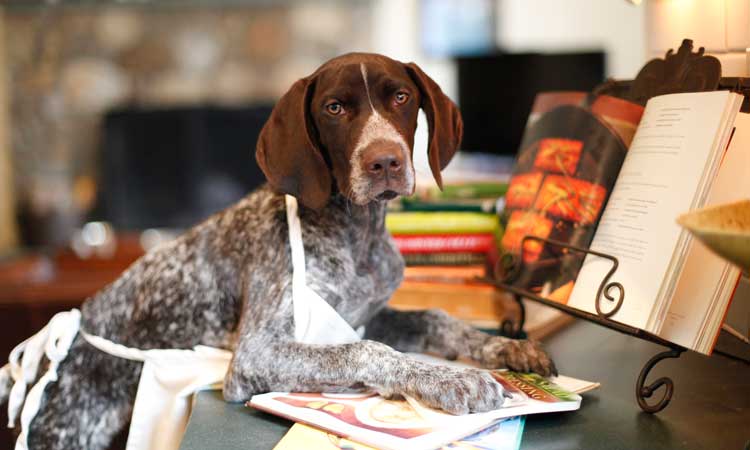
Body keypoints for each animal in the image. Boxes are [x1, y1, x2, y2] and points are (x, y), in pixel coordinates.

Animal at [0, 53, 552, 450]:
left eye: (401, 97)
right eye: (334, 108)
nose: (385, 162)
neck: (355, 233)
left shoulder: (368, 313)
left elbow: (434, 317)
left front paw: (504, 347)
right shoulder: (257, 353)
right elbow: (368, 350)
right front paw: (452, 379)